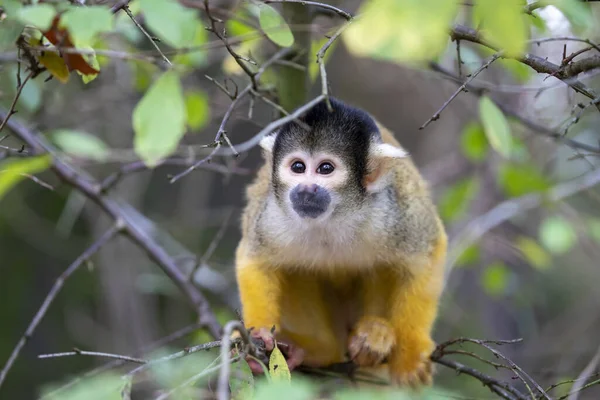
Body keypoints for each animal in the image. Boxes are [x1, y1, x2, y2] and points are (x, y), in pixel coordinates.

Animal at [234, 96, 446, 384]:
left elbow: (426, 254)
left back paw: (374, 335)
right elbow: (255, 260)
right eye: (298, 167)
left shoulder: (391, 212)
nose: (306, 189)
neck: (334, 216)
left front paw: (410, 354)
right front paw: (258, 333)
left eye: (326, 168)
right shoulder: (271, 216)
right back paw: (317, 350)